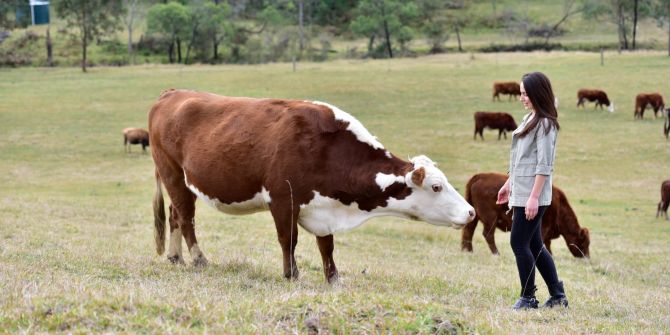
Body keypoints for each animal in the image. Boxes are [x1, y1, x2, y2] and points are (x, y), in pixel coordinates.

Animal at [150, 89, 476, 284]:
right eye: (436, 187)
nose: (471, 212)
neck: (326, 148)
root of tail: (173, 93)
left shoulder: (323, 209)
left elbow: (327, 245)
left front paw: (333, 278)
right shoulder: (283, 199)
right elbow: (289, 240)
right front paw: (291, 274)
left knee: (176, 214)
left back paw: (176, 257)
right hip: (173, 174)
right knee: (186, 218)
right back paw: (198, 259)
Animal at [462, 172, 592, 258]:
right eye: (583, 242)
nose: (586, 257)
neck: (559, 205)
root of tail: (479, 176)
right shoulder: (544, 228)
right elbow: (545, 243)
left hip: (474, 216)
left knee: (469, 230)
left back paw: (467, 250)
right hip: (491, 219)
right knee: (487, 234)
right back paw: (496, 253)